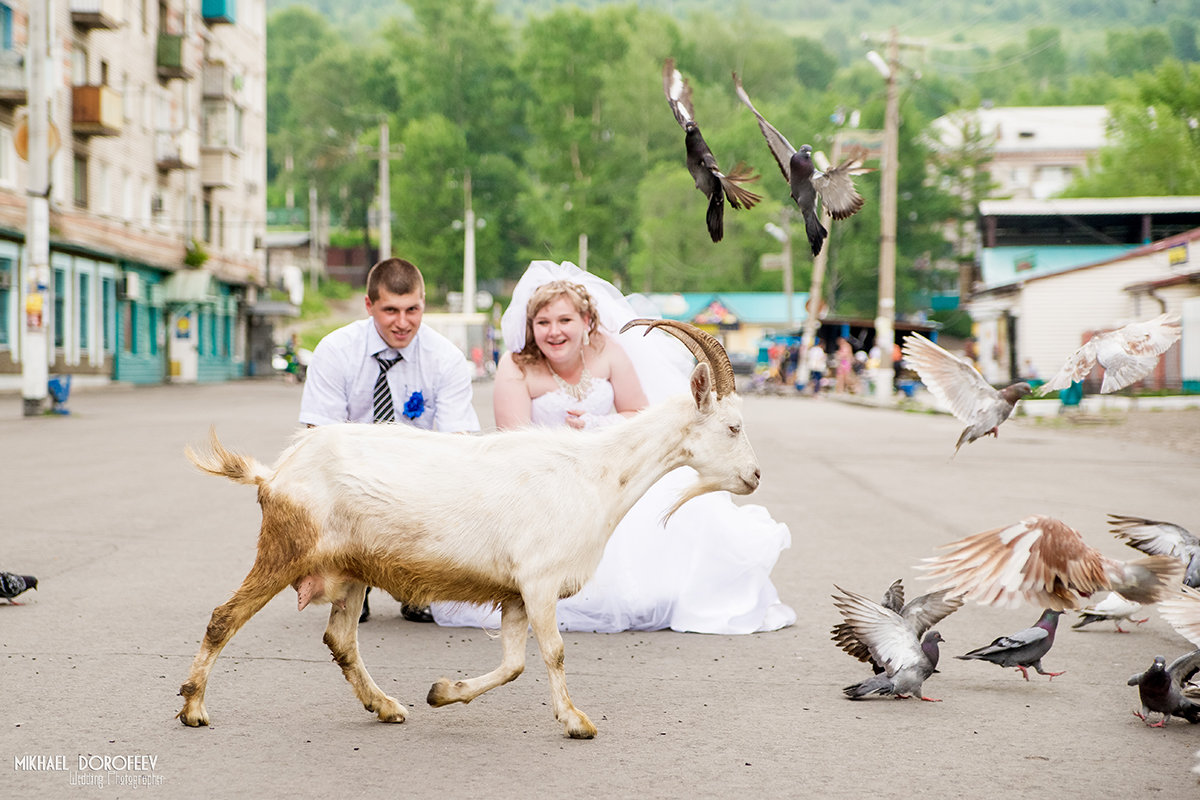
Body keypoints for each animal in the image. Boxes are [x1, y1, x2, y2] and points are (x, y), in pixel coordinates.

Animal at [175, 316, 758, 738]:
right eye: (732, 426)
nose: (754, 476)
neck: (594, 472)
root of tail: (275, 473)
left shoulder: (517, 594)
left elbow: (514, 664)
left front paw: (441, 692)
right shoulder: (540, 583)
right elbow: (554, 652)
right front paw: (576, 722)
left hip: (349, 568)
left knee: (340, 639)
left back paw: (386, 706)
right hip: (286, 549)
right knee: (224, 618)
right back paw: (194, 708)